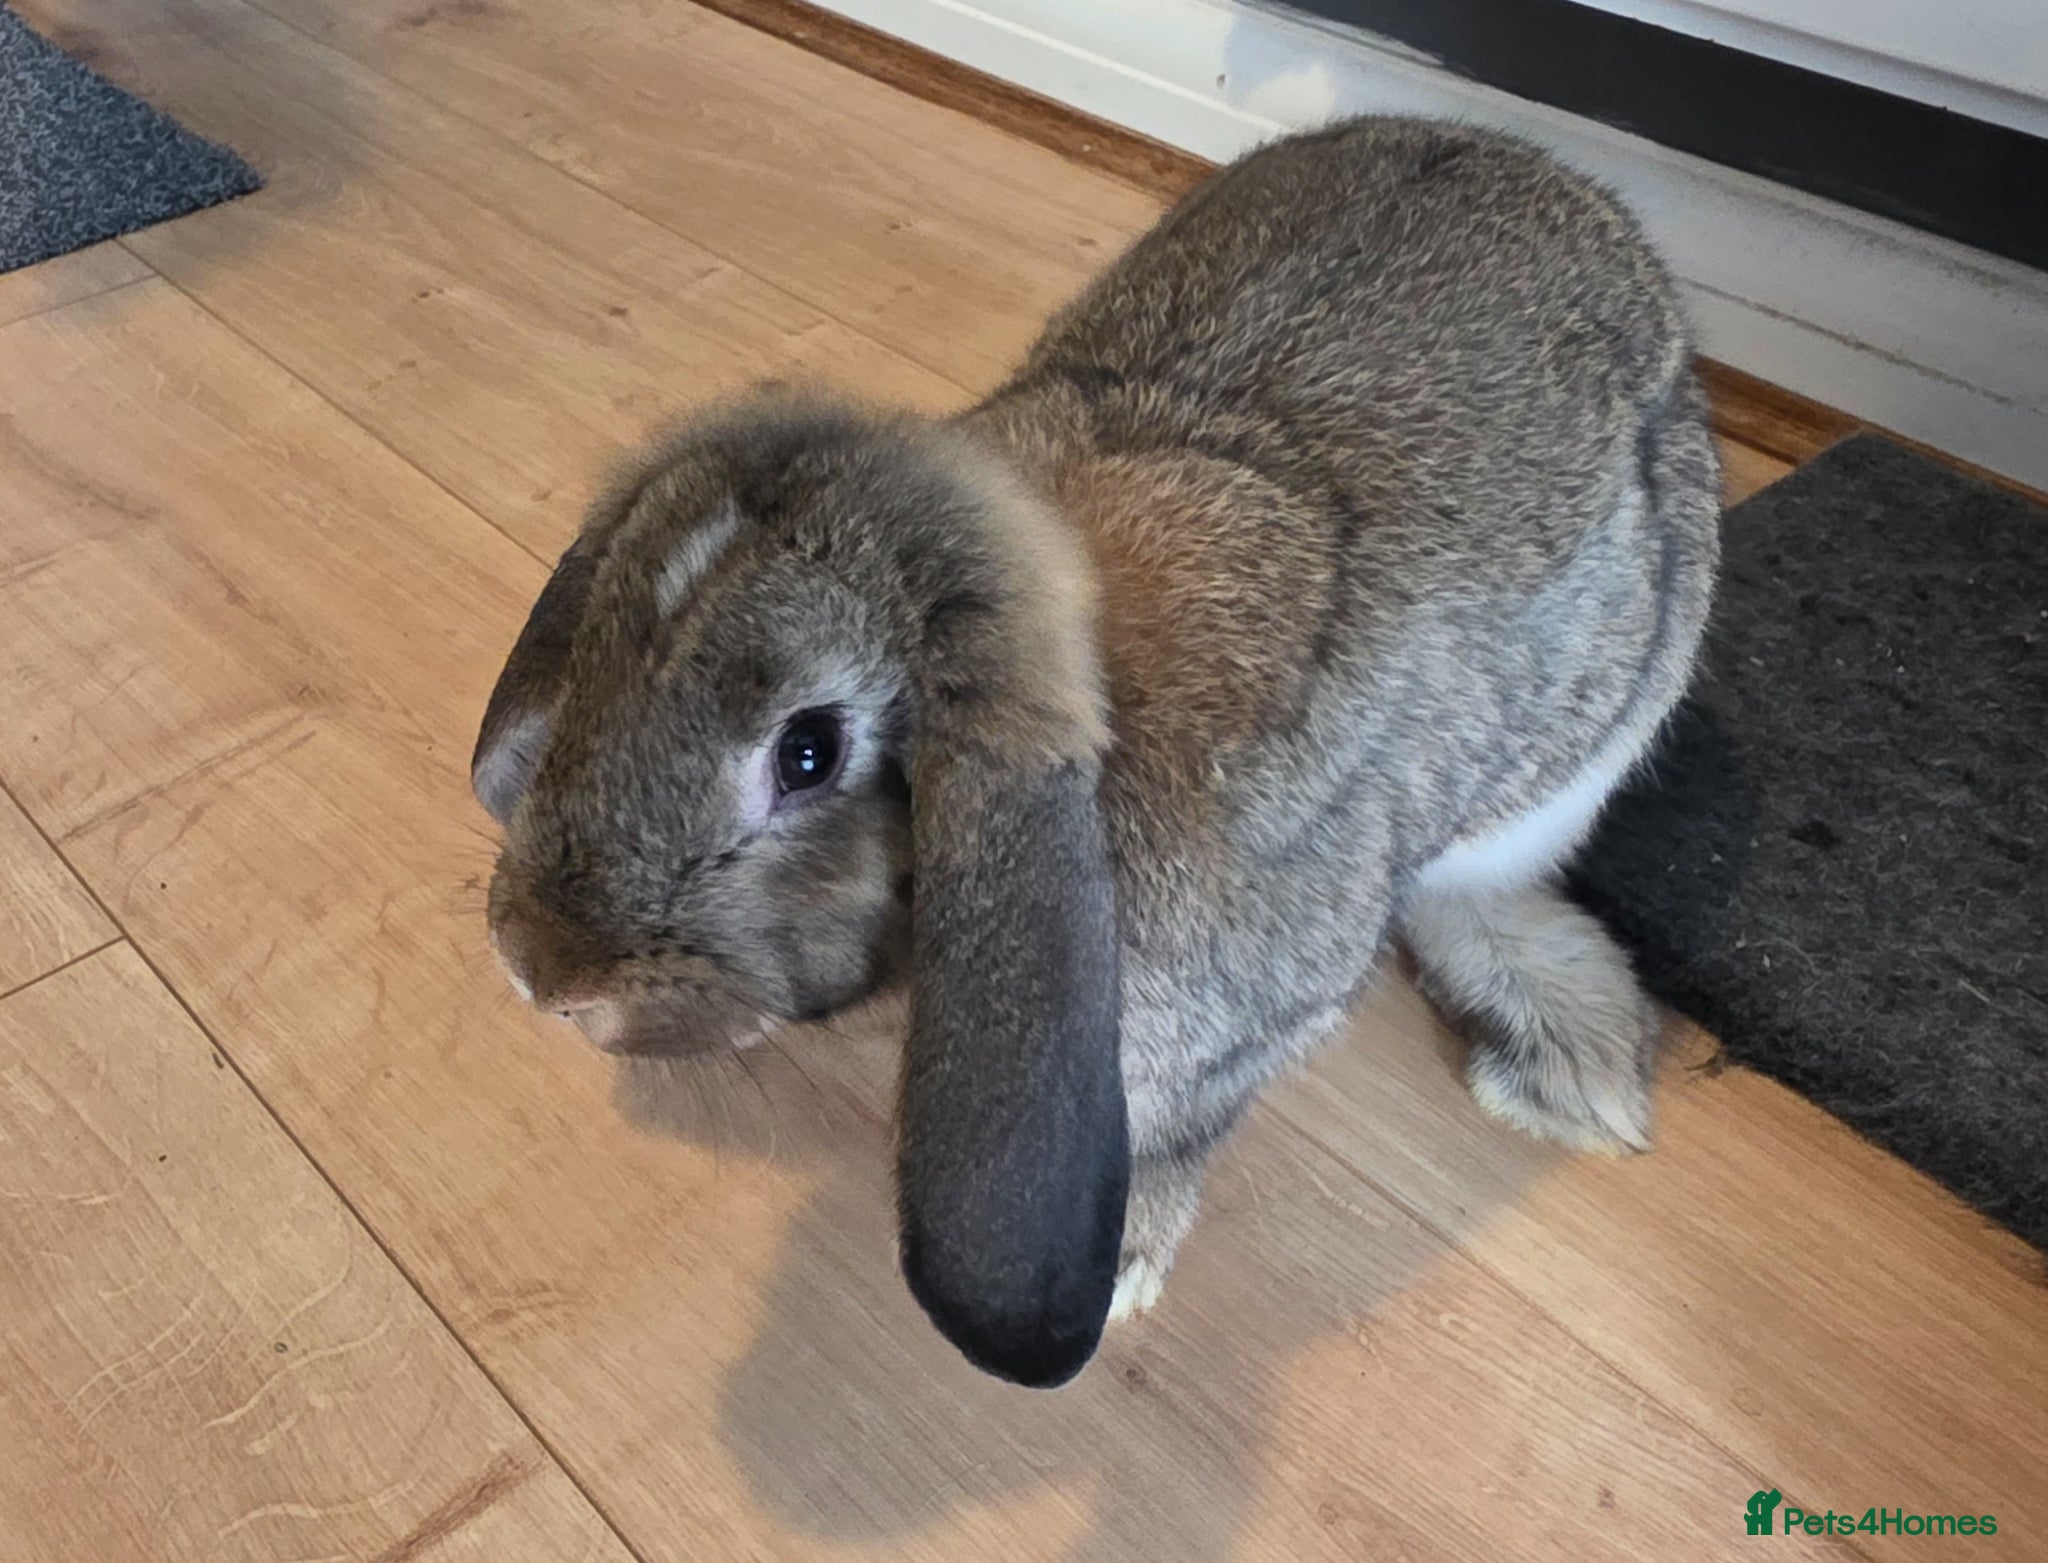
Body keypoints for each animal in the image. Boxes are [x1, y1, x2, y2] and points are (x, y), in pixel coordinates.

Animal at [471, 117, 1720, 1390]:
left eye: (808, 754)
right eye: (594, 658)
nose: (541, 976)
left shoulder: (1238, 1030)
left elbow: (1176, 1131)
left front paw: (1119, 1273)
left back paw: (1572, 1066)